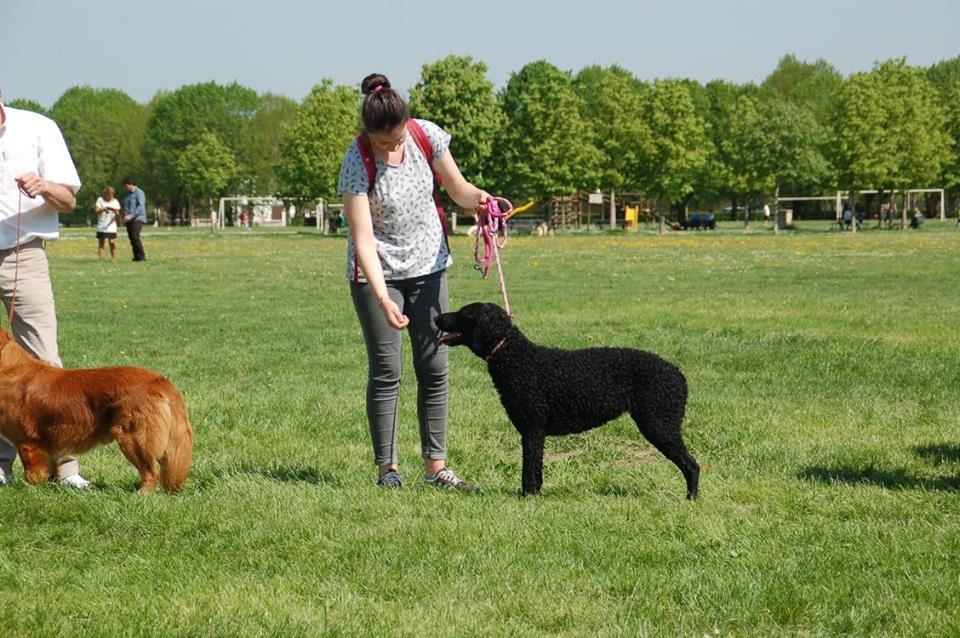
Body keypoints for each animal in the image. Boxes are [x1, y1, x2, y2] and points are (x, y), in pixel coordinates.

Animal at [0, 332, 193, 492]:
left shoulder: (28, 443)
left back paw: (140, 496)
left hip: (133, 437)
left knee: (151, 473)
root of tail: (160, 381)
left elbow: (33, 475)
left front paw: (31, 493)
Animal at [436, 302, 696, 502]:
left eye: (464, 314)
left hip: (659, 425)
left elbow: (529, 468)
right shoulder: (535, 432)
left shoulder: (532, 429)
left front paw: (527, 497)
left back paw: (691, 498)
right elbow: (537, 468)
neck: (517, 357)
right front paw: (536, 494)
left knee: (692, 464)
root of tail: (679, 374)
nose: (437, 317)